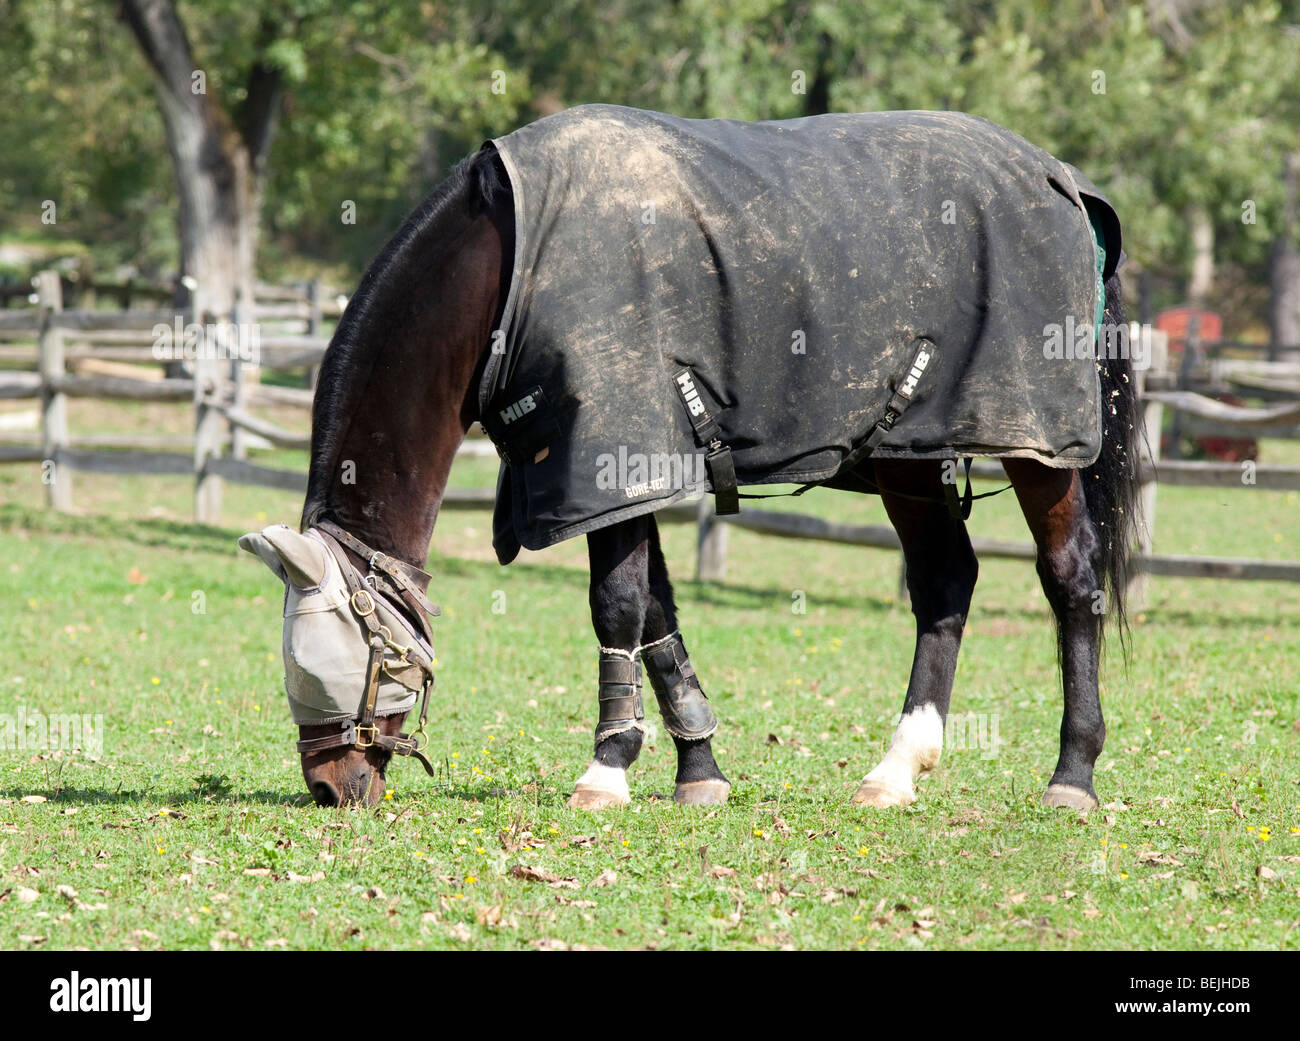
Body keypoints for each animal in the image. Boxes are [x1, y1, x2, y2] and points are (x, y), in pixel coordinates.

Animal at [239, 103, 1133, 810]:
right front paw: (697, 765)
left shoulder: (607, 455)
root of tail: (1064, 181)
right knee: (946, 579)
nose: (328, 784)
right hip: (909, 451)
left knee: (1071, 580)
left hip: (1038, 447)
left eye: (338, 655)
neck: (512, 266)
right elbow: (658, 613)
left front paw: (606, 769)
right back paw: (897, 768)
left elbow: (618, 607)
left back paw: (1073, 774)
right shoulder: (623, 474)